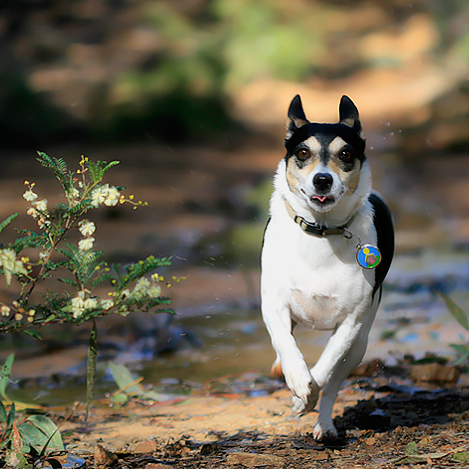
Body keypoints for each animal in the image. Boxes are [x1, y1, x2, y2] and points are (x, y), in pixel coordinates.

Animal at [262, 94, 394, 438]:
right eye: (302, 152)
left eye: (345, 154)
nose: (323, 179)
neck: (321, 231)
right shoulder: (274, 306)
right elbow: (286, 343)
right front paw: (297, 378)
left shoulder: (351, 324)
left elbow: (326, 369)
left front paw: (305, 395)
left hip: (359, 344)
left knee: (334, 382)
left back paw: (323, 423)